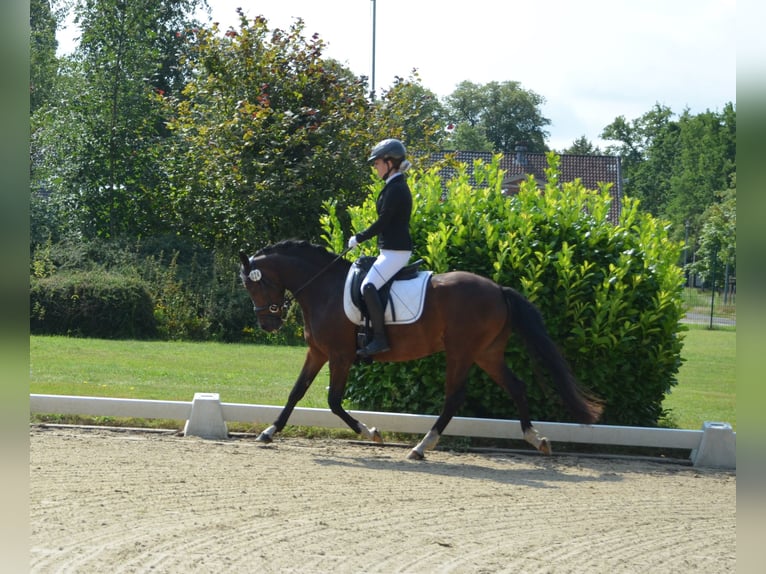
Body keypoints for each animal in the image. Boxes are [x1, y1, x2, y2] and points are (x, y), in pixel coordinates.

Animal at [237, 241, 604, 462]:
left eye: (255, 283)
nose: (268, 324)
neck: (322, 288)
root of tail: (498, 289)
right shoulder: (318, 352)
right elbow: (296, 392)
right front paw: (269, 432)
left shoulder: (340, 355)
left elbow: (333, 401)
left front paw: (371, 433)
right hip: (486, 353)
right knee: (516, 386)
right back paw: (535, 438)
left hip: (461, 351)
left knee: (454, 397)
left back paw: (421, 446)